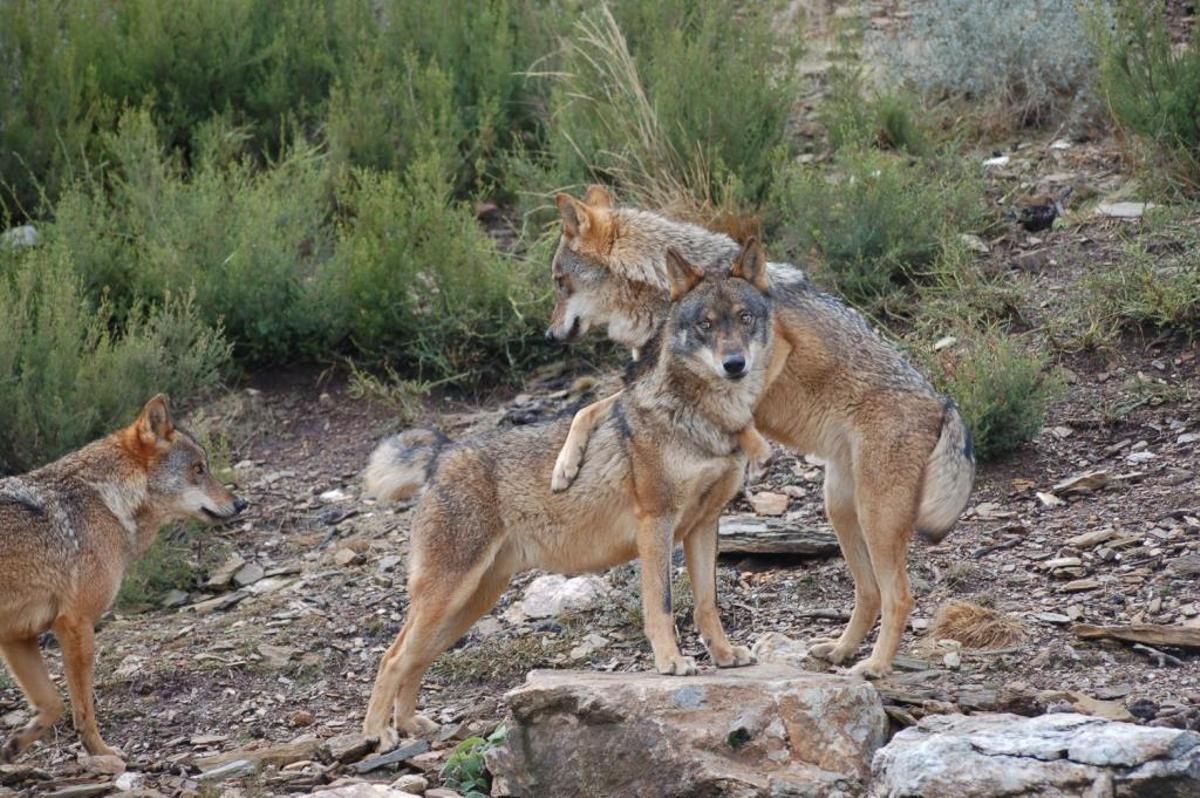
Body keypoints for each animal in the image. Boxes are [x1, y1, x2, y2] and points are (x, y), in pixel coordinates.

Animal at [0, 396, 246, 762]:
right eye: (199, 469)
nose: (241, 503)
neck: (106, 499)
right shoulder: (76, 625)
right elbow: (83, 709)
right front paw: (102, 754)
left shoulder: (18, 636)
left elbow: (54, 704)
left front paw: (15, 744)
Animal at [361, 242, 775, 744]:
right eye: (706, 325)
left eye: (744, 318)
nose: (735, 365)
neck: (708, 421)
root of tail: (443, 452)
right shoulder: (655, 523)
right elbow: (661, 604)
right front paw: (671, 663)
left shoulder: (704, 526)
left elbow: (706, 604)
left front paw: (725, 655)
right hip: (449, 596)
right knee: (393, 656)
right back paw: (378, 734)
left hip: (469, 604)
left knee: (415, 658)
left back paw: (407, 724)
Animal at [545, 186, 975, 678]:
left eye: (560, 282)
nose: (550, 335)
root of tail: (943, 402)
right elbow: (588, 410)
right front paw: (564, 466)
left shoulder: (772, 353)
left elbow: (724, 405)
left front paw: (752, 447)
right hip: (842, 510)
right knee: (869, 593)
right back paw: (841, 651)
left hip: (876, 518)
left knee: (899, 596)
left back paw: (873, 667)